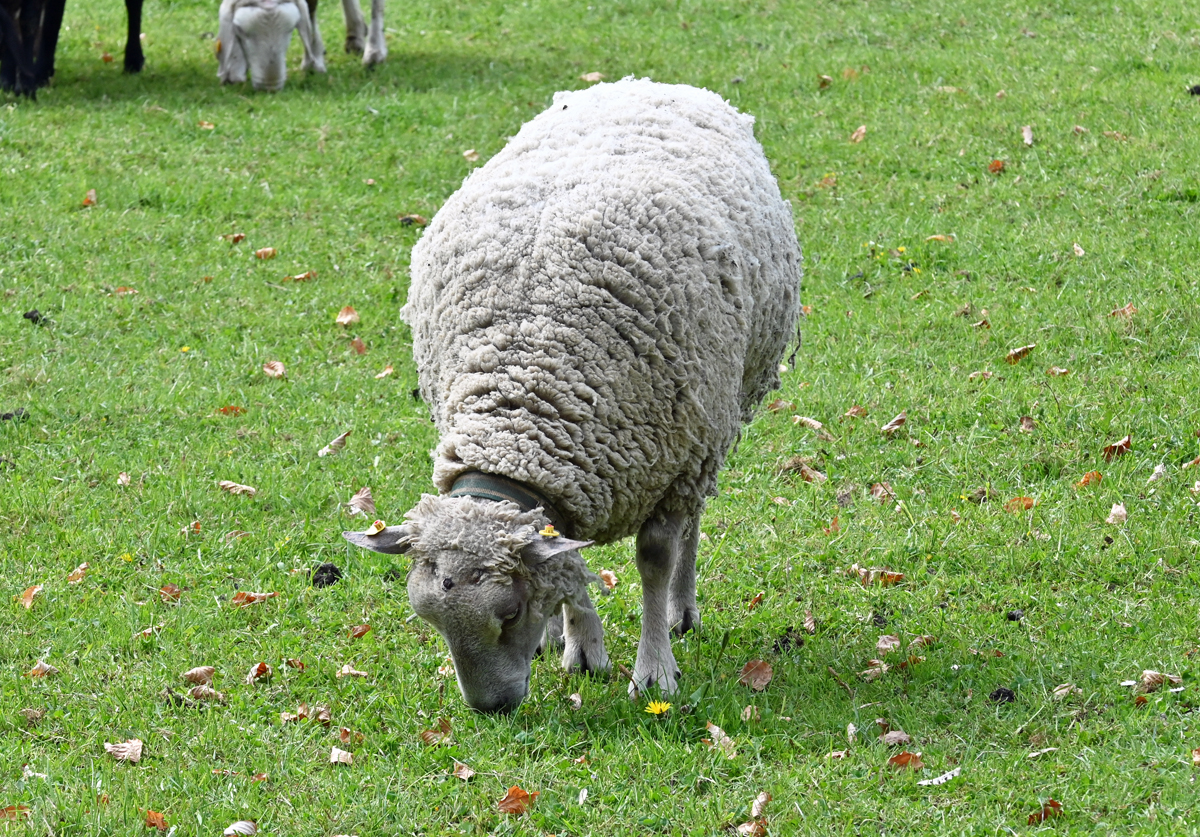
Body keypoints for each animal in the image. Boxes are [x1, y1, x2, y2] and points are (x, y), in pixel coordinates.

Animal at [343, 76, 801, 709]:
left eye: (508, 613)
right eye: (428, 618)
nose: (491, 708)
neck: (522, 402)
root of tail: (648, 81)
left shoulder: (670, 453)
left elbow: (655, 559)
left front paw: (653, 669)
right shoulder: (578, 469)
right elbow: (567, 557)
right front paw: (583, 645)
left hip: (712, 420)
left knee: (693, 520)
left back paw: (682, 610)